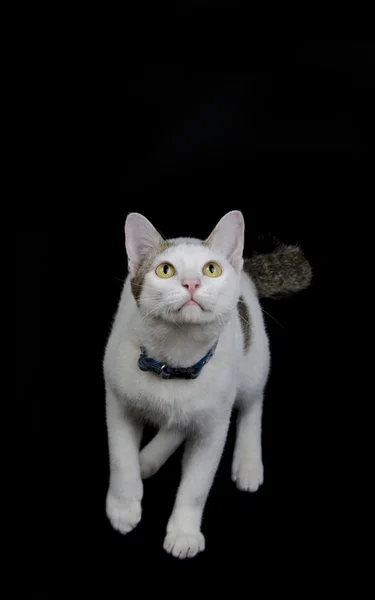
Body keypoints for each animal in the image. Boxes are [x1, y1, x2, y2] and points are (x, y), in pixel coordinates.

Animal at [103, 210, 312, 556]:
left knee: (252, 403)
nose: (192, 283)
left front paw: (184, 533)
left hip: (253, 363)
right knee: (177, 424)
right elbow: (121, 459)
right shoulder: (118, 402)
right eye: (165, 270)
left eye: (211, 269)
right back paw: (148, 458)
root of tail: (246, 275)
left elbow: (197, 484)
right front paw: (123, 507)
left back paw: (248, 462)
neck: (174, 365)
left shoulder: (214, 426)